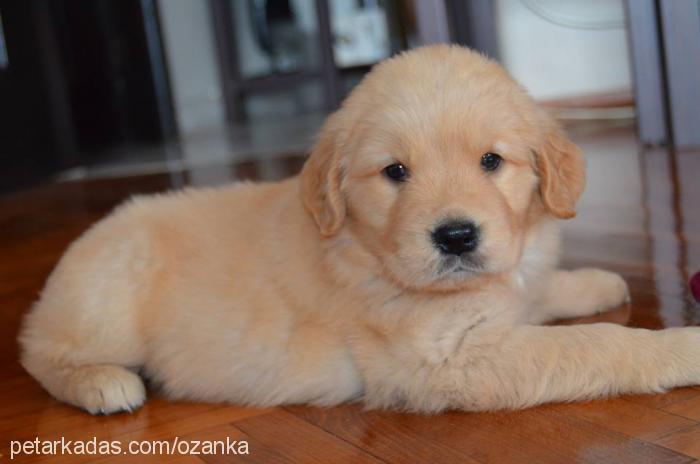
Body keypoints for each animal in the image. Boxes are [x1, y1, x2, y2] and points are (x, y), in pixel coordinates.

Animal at [19, 46, 696, 416]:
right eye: (395, 172)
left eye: (491, 161)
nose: (456, 237)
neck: (370, 251)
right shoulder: (444, 359)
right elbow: (592, 346)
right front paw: (680, 347)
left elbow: (540, 290)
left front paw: (595, 282)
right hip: (107, 297)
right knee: (37, 350)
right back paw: (102, 383)